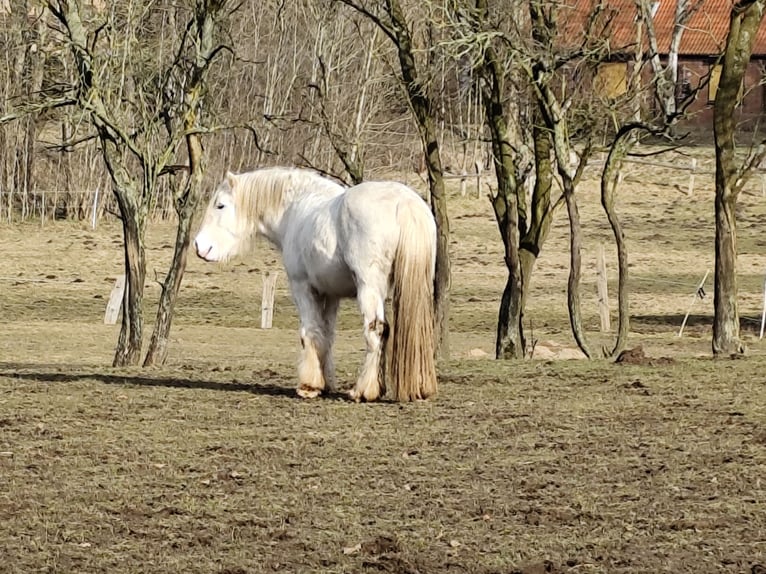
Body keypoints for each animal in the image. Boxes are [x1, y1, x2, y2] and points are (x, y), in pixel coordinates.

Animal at [195, 164, 438, 402]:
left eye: (220, 205)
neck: (295, 210)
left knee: (376, 330)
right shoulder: (330, 294)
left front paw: (309, 386)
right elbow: (326, 335)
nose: (199, 246)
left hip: (369, 288)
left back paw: (363, 391)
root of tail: (403, 202)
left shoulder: (302, 288)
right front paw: (326, 383)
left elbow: (310, 332)